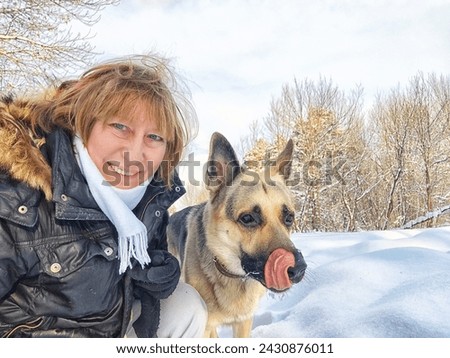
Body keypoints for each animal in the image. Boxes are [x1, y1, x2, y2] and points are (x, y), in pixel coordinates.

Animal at [167, 132, 308, 338]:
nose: (298, 269)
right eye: (247, 218)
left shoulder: (243, 323)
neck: (233, 275)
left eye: (289, 218)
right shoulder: (205, 328)